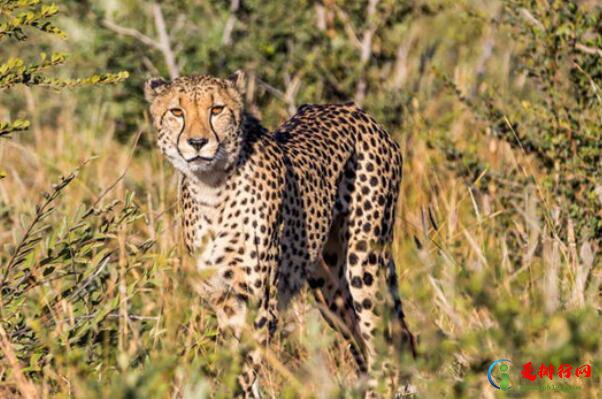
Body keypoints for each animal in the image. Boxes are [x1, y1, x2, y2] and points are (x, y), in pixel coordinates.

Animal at [145, 72, 414, 399]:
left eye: (216, 109)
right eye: (176, 112)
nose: (197, 142)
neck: (212, 187)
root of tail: (355, 109)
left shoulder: (261, 302)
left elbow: (243, 368)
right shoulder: (224, 300)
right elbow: (238, 363)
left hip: (364, 263)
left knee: (382, 344)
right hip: (329, 287)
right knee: (367, 342)